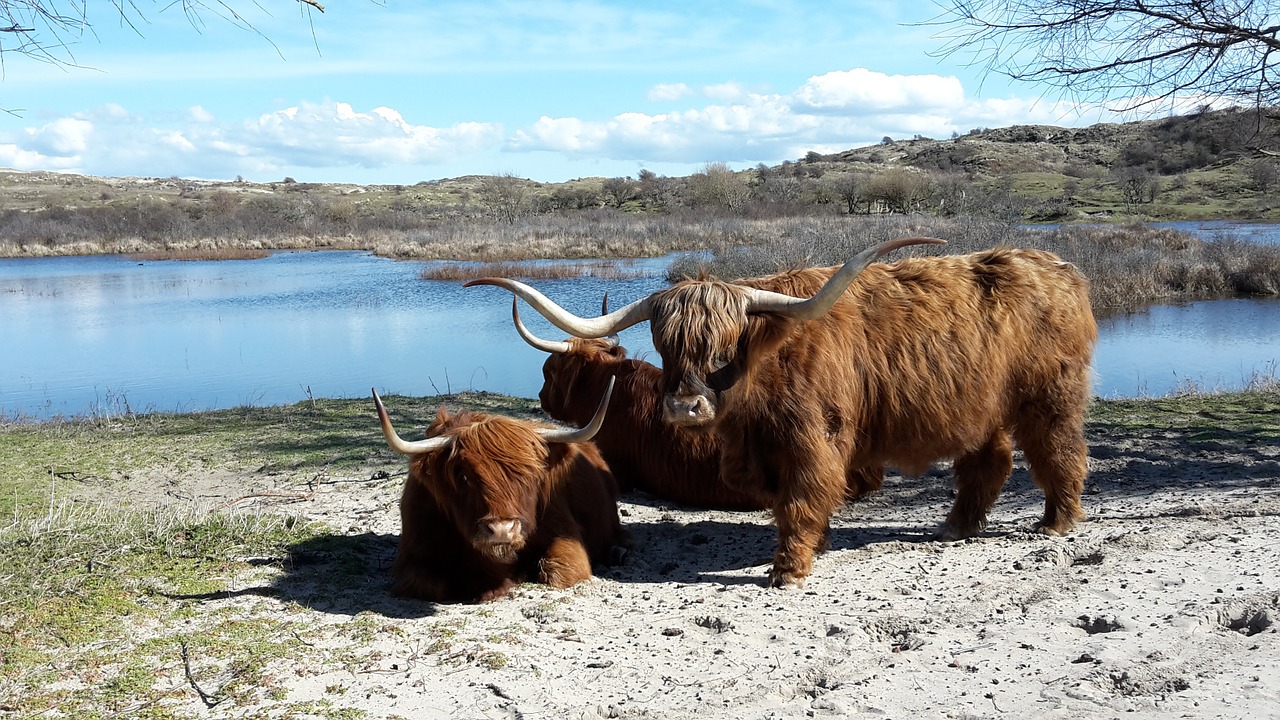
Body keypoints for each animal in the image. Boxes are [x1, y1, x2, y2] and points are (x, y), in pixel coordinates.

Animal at [371, 379, 629, 602]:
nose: (502, 530)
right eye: (463, 476)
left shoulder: (564, 534)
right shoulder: (414, 553)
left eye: (532, 474)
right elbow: (426, 585)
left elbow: (559, 571)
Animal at [465, 238, 1095, 586]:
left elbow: (802, 498)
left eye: (724, 348)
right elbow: (799, 502)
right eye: (665, 346)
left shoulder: (814, 441)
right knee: (990, 460)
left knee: (1059, 451)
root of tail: (1059, 267)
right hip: (981, 406)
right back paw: (956, 526)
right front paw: (814, 547)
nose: (685, 406)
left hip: (1049, 396)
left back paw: (1057, 521)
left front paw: (789, 569)